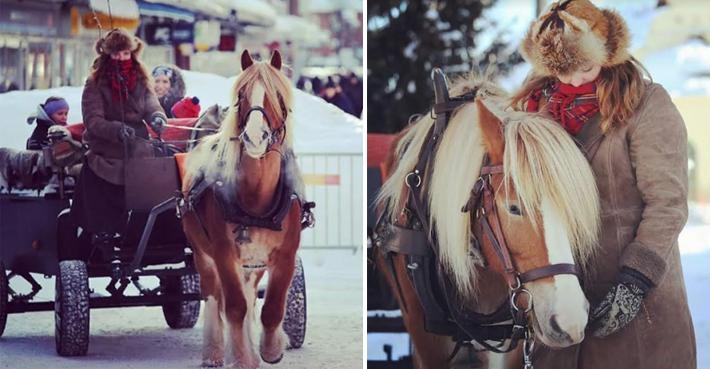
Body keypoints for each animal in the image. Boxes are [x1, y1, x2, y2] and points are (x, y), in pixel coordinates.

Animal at [179, 51, 304, 368]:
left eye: (276, 95)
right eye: (241, 95)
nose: (255, 137)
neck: (256, 198)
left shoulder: (285, 255)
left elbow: (272, 307)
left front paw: (271, 349)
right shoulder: (223, 252)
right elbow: (234, 307)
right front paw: (244, 357)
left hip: (252, 262)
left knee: (249, 295)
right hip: (202, 252)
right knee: (213, 295)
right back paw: (213, 351)